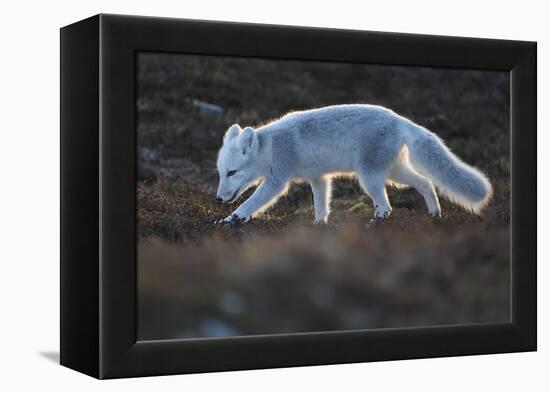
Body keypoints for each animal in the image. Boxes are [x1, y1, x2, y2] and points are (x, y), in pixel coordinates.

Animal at [213, 104, 494, 225]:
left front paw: (230, 220)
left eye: (232, 172)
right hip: (395, 173)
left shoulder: (276, 182)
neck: (270, 147)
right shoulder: (319, 179)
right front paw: (319, 227)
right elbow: (321, 206)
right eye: (221, 173)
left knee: (386, 206)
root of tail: (400, 119)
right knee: (426, 183)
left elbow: (250, 203)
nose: (217, 199)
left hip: (370, 177)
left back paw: (375, 225)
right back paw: (435, 216)